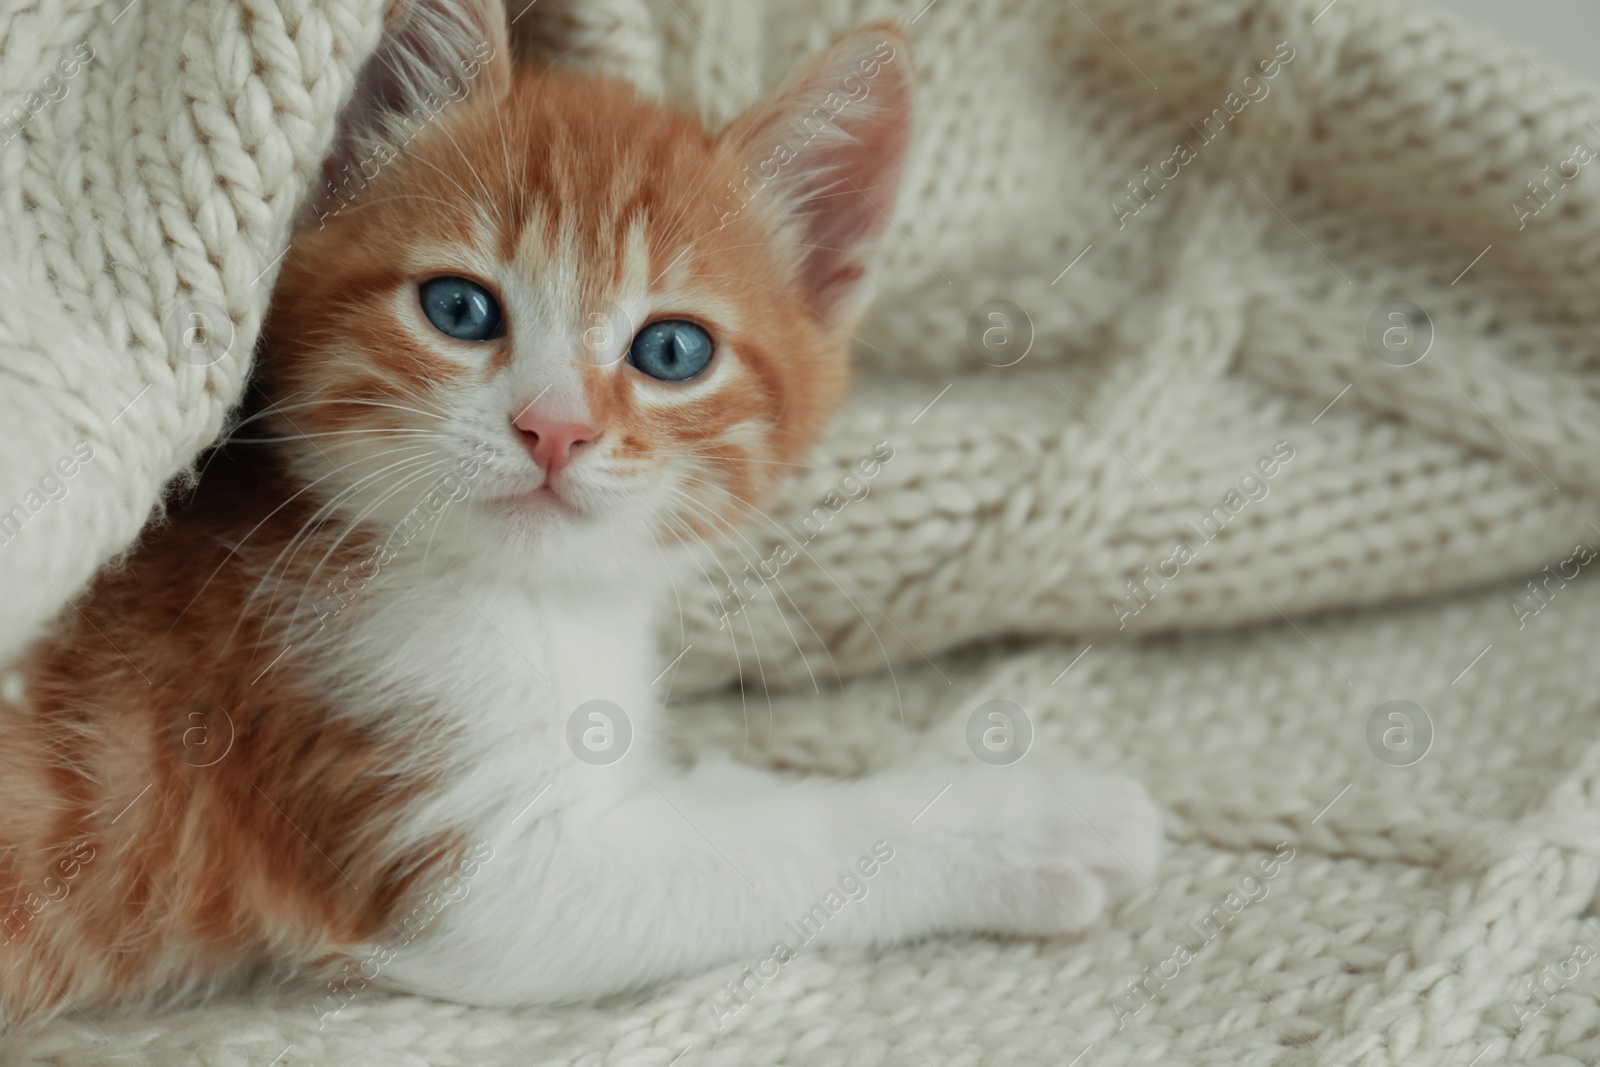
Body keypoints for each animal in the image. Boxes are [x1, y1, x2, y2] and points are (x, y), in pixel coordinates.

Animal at [0, 0, 1158, 1030]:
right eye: (460, 308)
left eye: (672, 350)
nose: (553, 428)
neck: (531, 600)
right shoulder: (470, 864)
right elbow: (778, 838)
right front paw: (1031, 817)